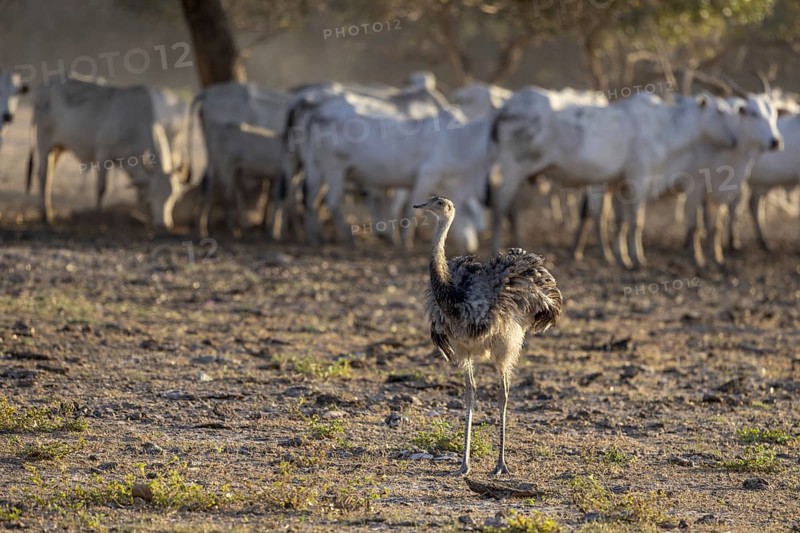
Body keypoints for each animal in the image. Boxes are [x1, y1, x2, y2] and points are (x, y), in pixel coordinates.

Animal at [26, 77, 182, 229]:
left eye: (173, 197)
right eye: (154, 196)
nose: (164, 224)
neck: (134, 127)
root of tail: (42, 88)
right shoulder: (103, 154)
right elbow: (101, 188)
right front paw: (97, 215)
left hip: (58, 148)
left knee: (50, 174)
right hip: (43, 141)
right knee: (43, 175)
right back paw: (46, 215)